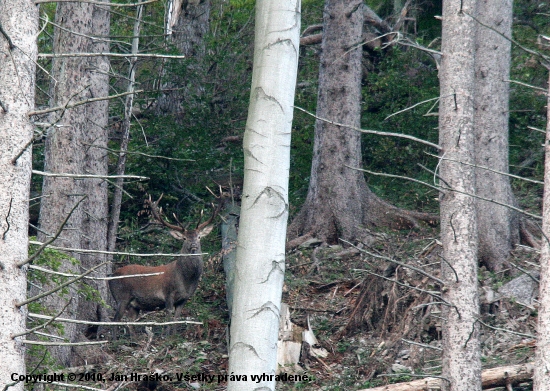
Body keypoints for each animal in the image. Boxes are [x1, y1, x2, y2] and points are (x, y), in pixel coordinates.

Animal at [109, 196, 219, 336]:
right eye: (184, 238)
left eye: (199, 236)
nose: (193, 245)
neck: (185, 279)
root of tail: (110, 277)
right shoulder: (168, 293)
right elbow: (168, 317)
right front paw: (166, 336)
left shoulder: (184, 299)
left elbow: (177, 318)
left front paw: (174, 335)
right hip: (121, 297)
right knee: (115, 320)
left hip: (134, 304)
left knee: (129, 322)